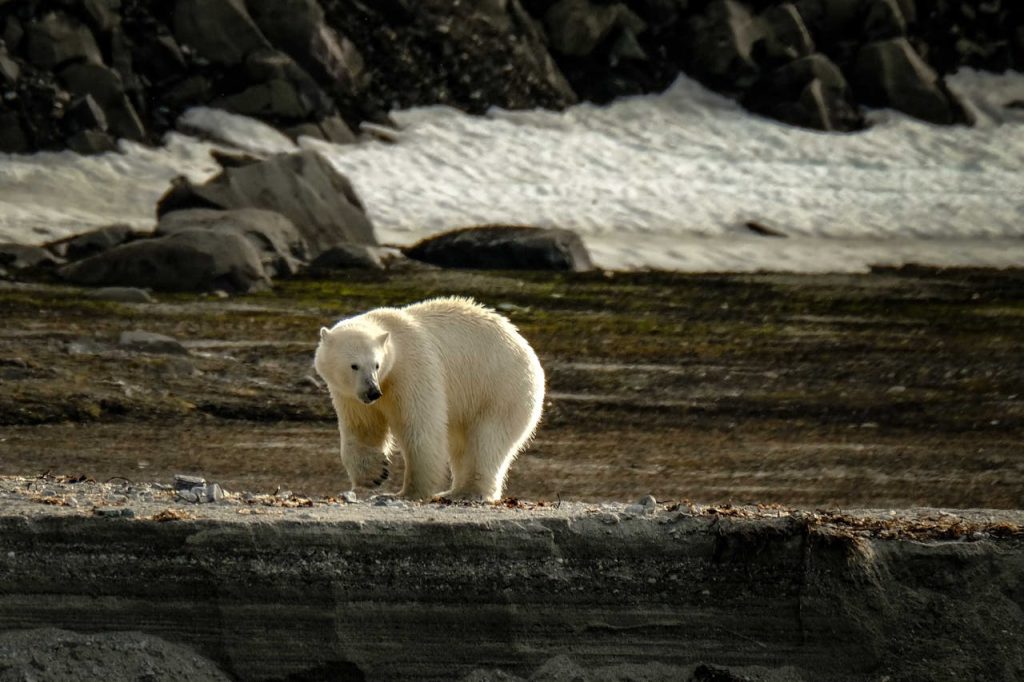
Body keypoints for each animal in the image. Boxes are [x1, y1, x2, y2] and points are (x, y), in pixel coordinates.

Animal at [314, 297, 545, 501]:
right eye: (354, 365)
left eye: (376, 364)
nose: (373, 392)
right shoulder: (350, 394)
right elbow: (363, 427)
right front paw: (374, 474)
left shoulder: (413, 369)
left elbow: (420, 427)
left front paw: (408, 492)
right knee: (461, 443)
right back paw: (453, 490)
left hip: (501, 388)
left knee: (487, 439)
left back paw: (467, 491)